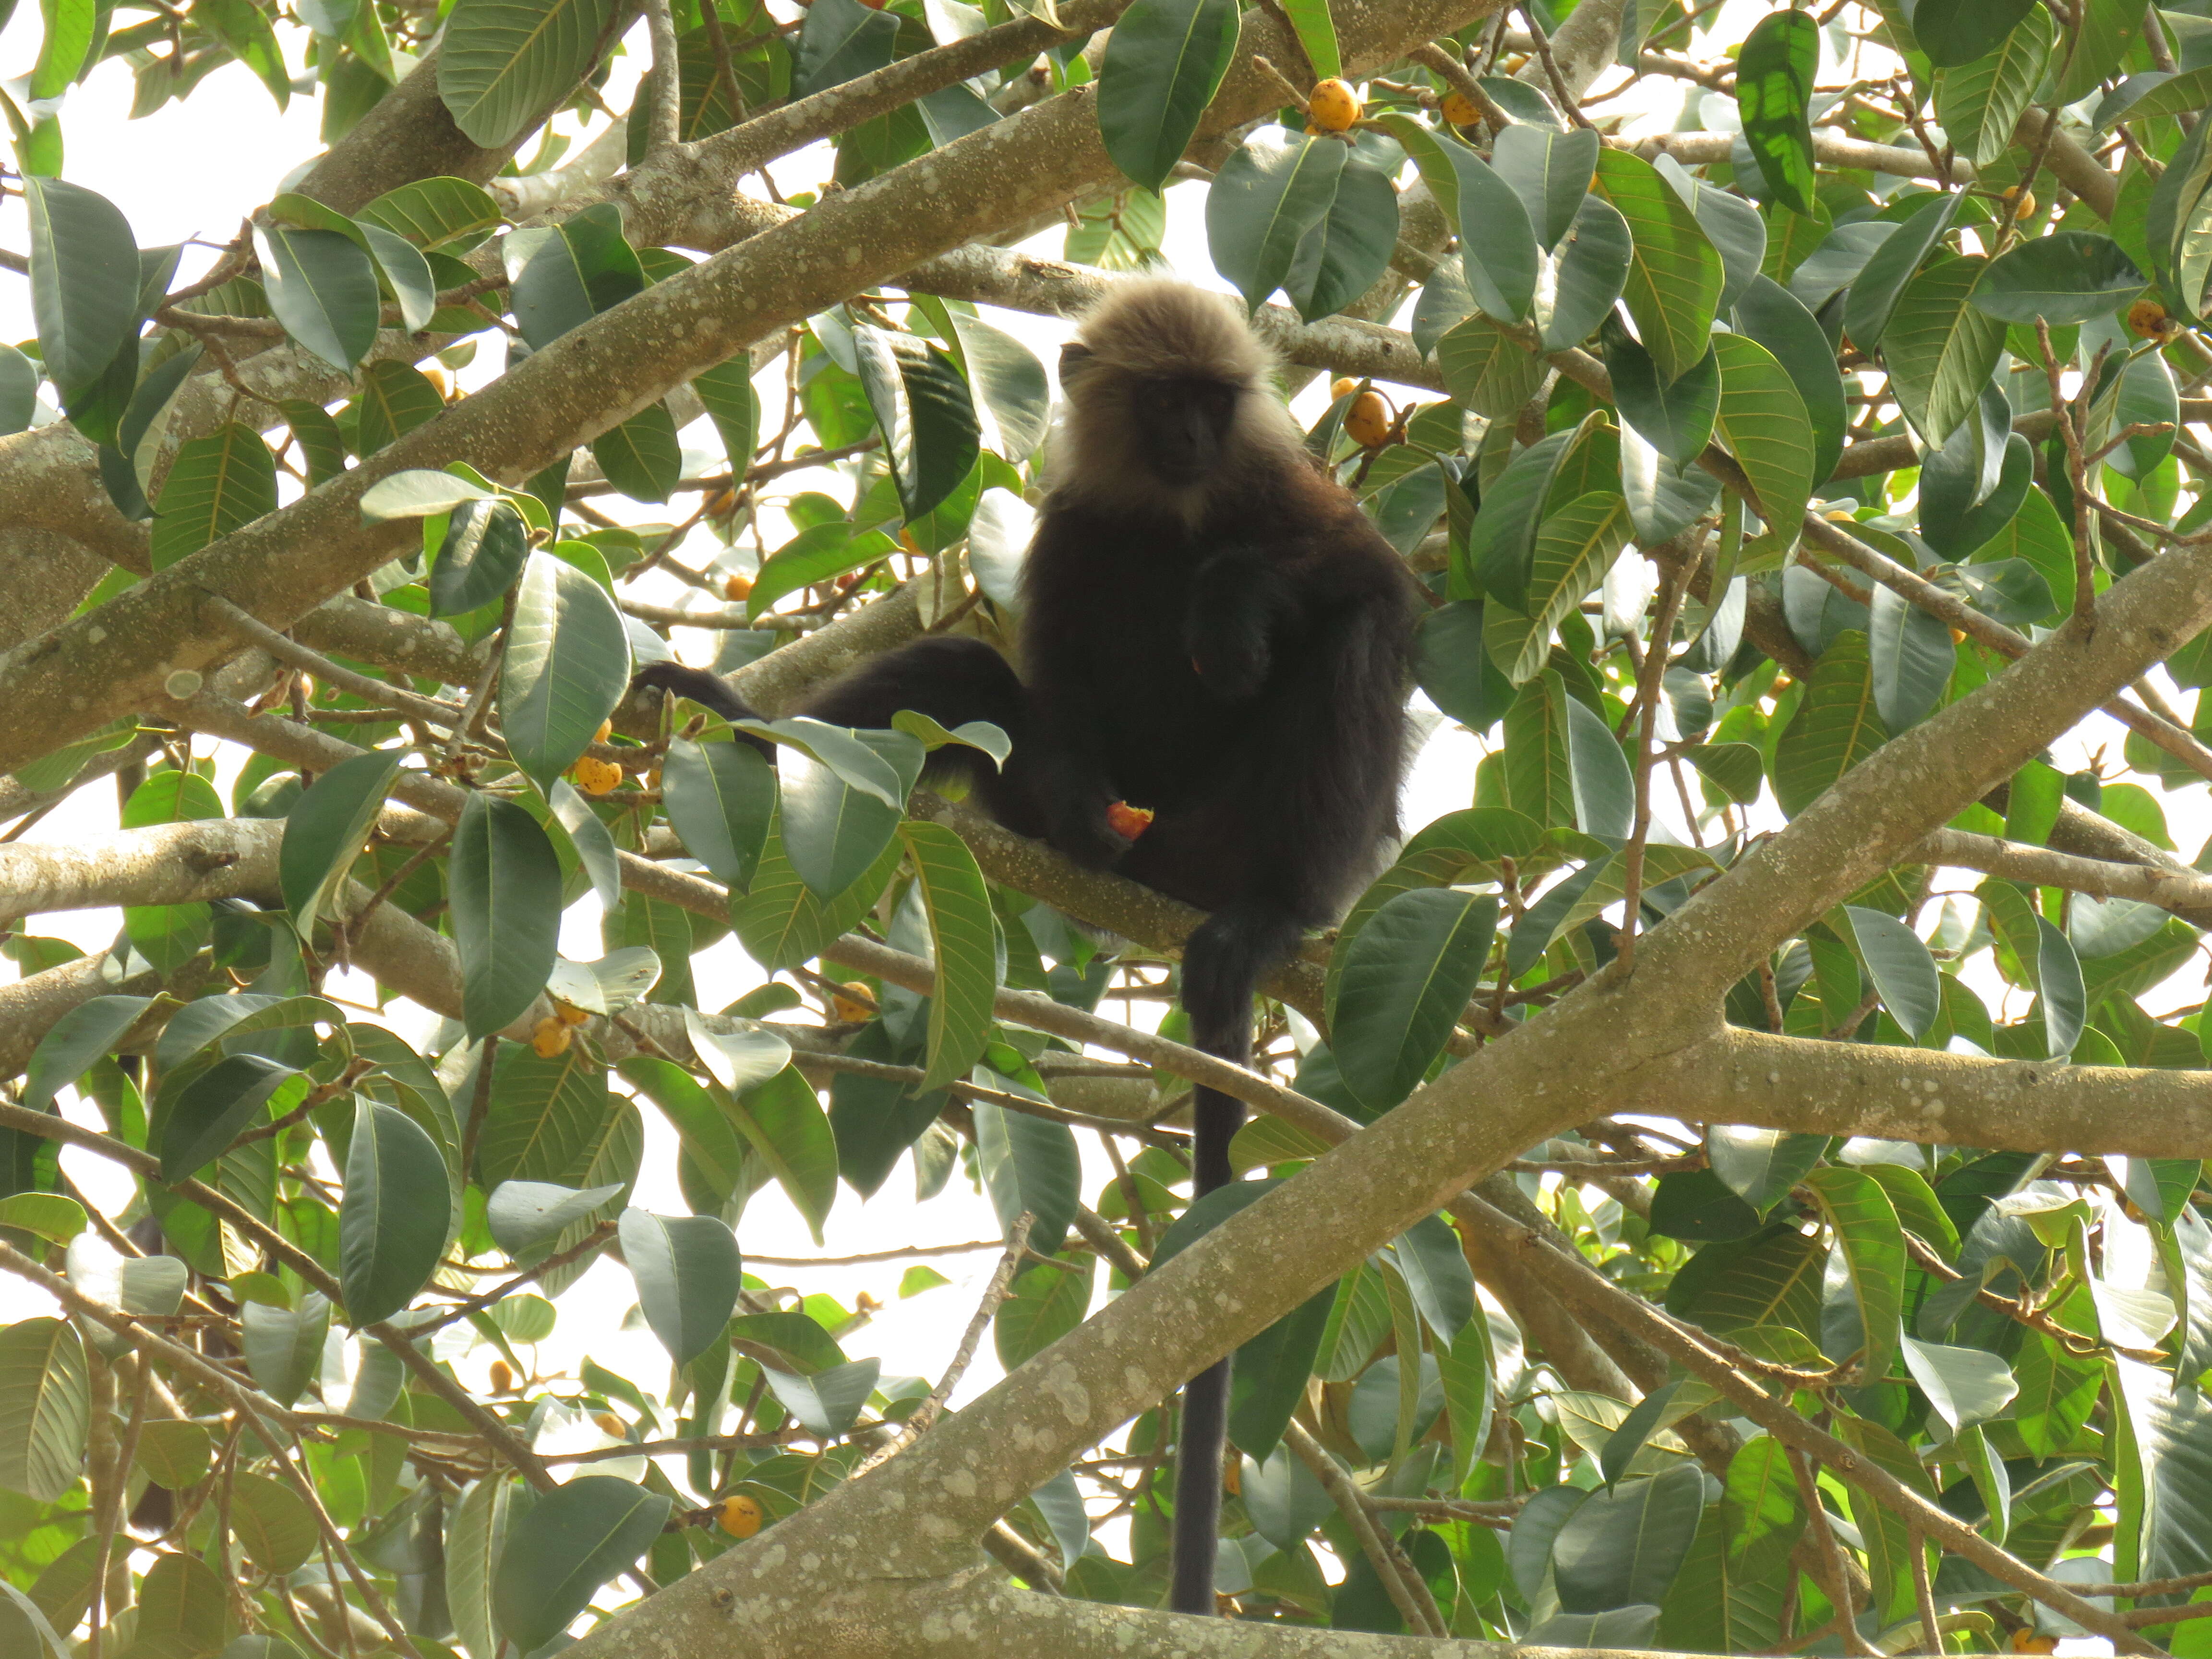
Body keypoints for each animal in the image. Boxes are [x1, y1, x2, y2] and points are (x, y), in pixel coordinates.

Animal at [637, 279, 1416, 1619]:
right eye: (1165, 404)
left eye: (1214, 403)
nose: (1196, 440)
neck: (1171, 510)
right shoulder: (1068, 535)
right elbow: (1044, 691)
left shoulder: (1282, 493)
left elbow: (1383, 590)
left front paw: (1233, 604)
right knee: (964, 674)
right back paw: (746, 732)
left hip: (1231, 832)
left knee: (1355, 643)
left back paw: (1272, 914)